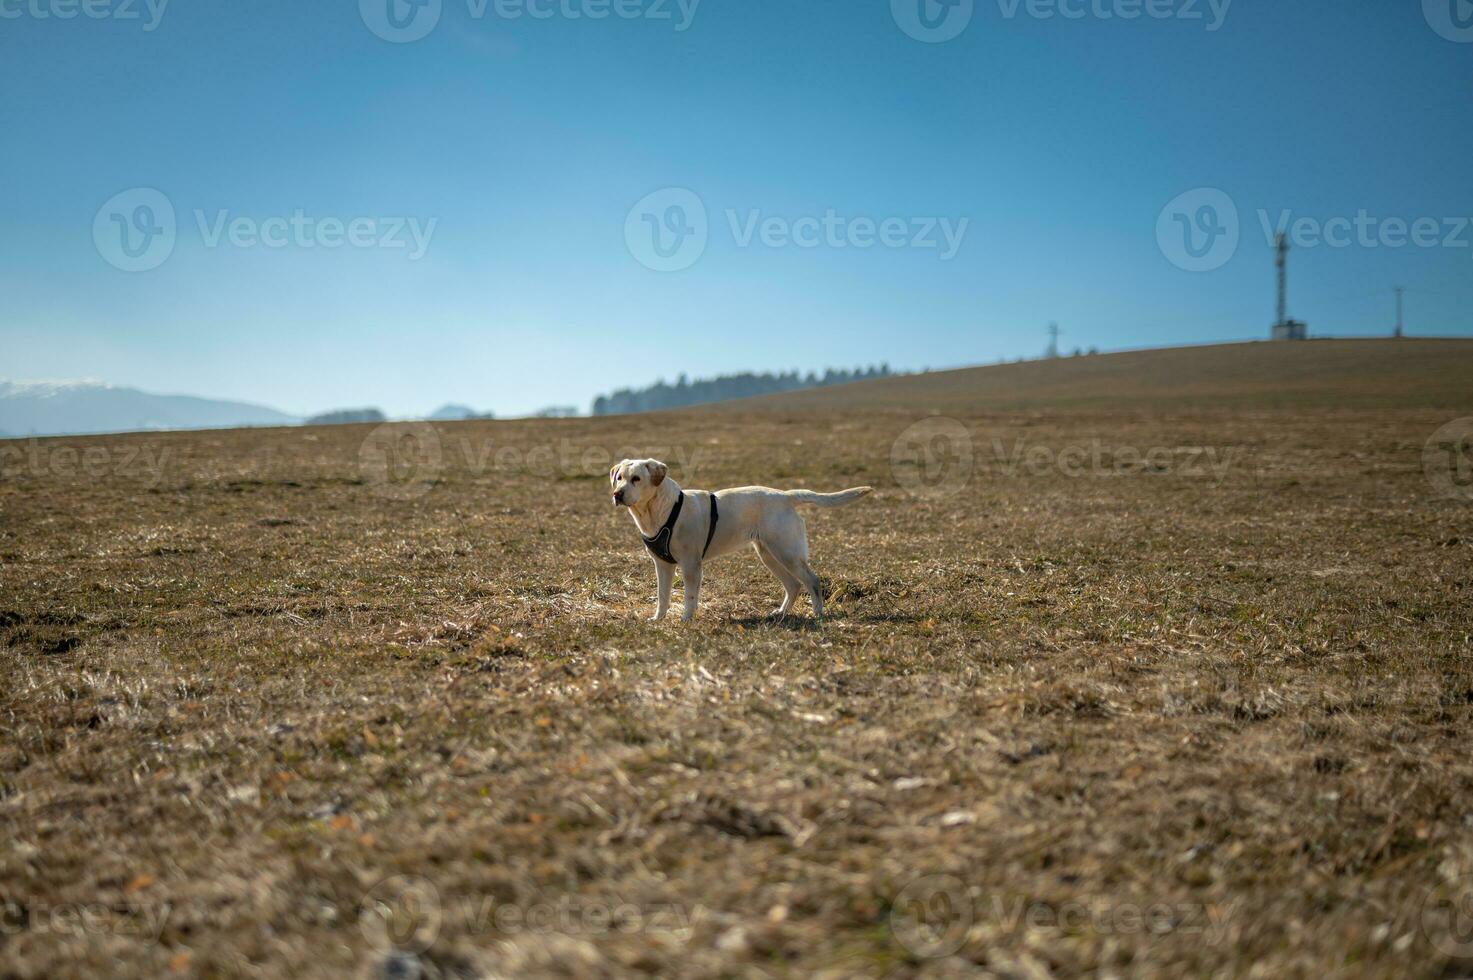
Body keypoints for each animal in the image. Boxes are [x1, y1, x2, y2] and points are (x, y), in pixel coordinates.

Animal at [612, 456, 872, 618]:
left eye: (636, 478)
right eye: (619, 477)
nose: (617, 494)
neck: (659, 510)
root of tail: (786, 495)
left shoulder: (690, 565)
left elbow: (690, 596)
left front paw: (686, 618)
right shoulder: (662, 565)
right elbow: (662, 596)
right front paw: (659, 619)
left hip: (787, 552)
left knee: (812, 581)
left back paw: (817, 613)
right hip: (768, 554)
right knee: (794, 585)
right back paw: (781, 613)